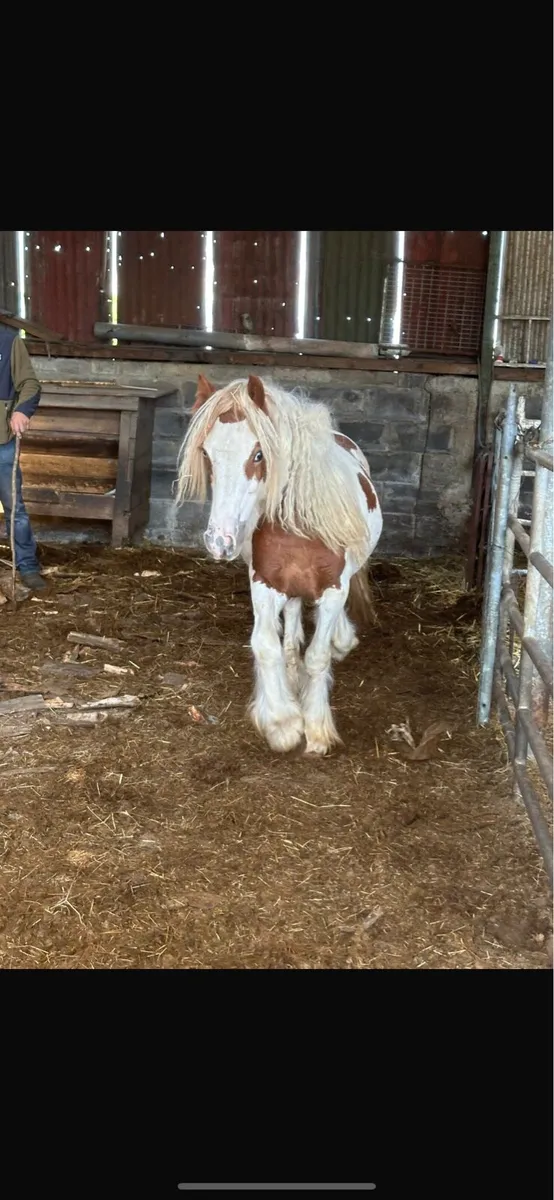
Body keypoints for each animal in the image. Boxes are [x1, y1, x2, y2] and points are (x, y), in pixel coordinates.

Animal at [175, 374, 383, 756]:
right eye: (206, 453)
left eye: (258, 454)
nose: (219, 540)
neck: (299, 529)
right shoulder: (264, 582)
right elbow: (267, 646)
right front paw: (282, 723)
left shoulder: (334, 589)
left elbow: (317, 656)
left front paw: (316, 730)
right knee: (291, 627)